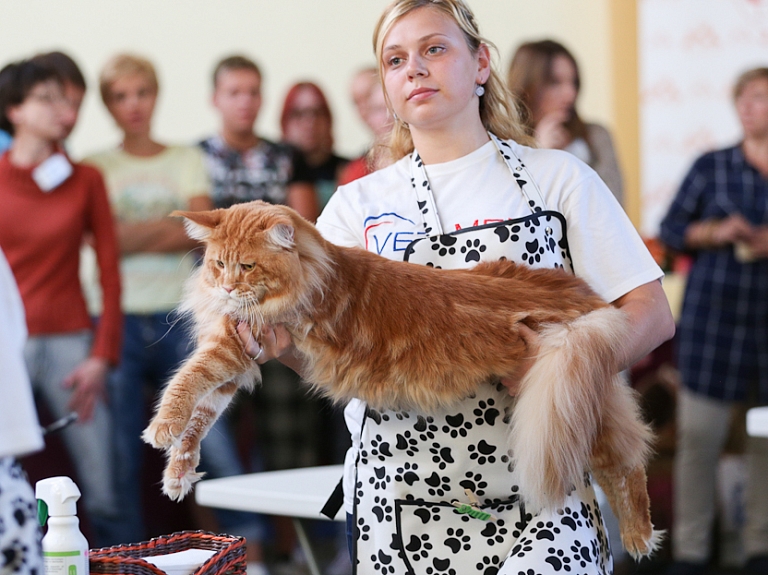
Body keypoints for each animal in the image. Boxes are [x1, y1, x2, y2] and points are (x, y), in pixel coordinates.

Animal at [144, 201, 660, 560]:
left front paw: (160, 430)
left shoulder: (233, 347)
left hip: (563, 393)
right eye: (218, 264)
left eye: (247, 266)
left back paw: (640, 537)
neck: (314, 270)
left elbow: (186, 383)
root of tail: (583, 297)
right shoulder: (237, 361)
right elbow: (200, 420)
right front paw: (178, 474)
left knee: (628, 461)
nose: (227, 286)